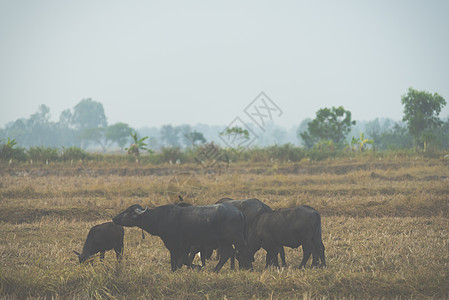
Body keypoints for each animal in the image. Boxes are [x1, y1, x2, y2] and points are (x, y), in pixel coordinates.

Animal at [112, 202, 252, 272]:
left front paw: (198, 267)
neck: (160, 218)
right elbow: (176, 260)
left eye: (129, 212)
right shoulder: (178, 247)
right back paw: (215, 270)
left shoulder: (179, 245)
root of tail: (240, 213)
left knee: (244, 251)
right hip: (225, 241)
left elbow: (182, 260)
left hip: (237, 239)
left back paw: (249, 268)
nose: (114, 218)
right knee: (228, 253)